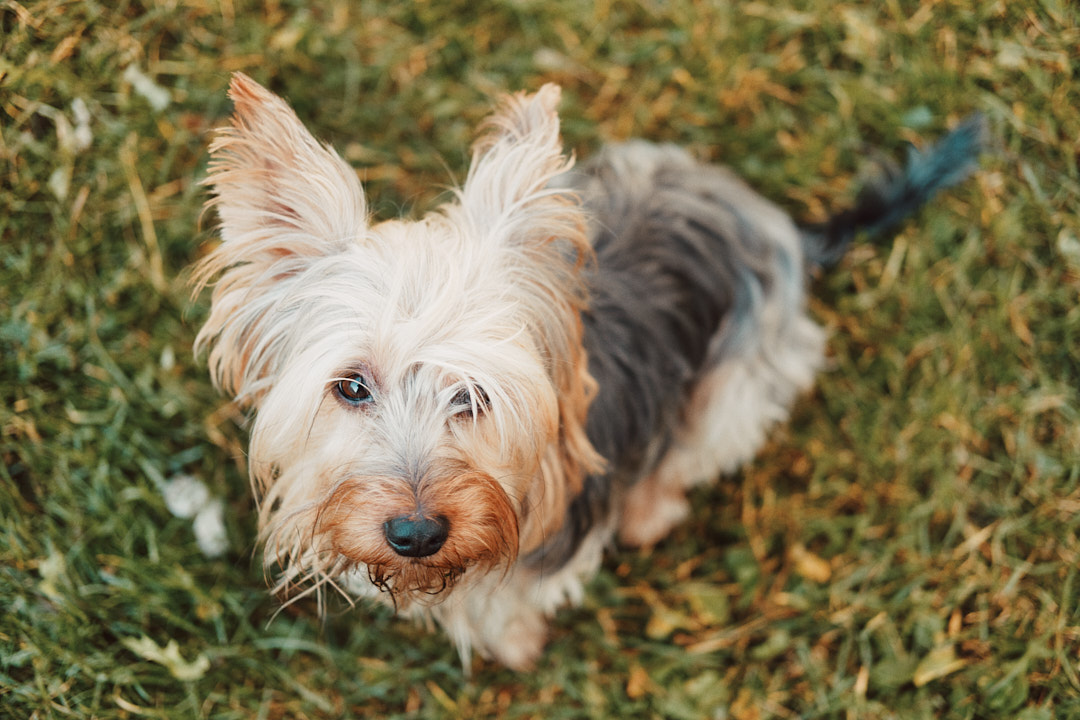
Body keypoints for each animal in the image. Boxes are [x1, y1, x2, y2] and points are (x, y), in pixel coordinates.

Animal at [190, 73, 984, 669]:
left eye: (473, 395)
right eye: (350, 387)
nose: (416, 535)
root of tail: (781, 224)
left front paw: (515, 642)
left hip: (742, 377)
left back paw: (649, 509)